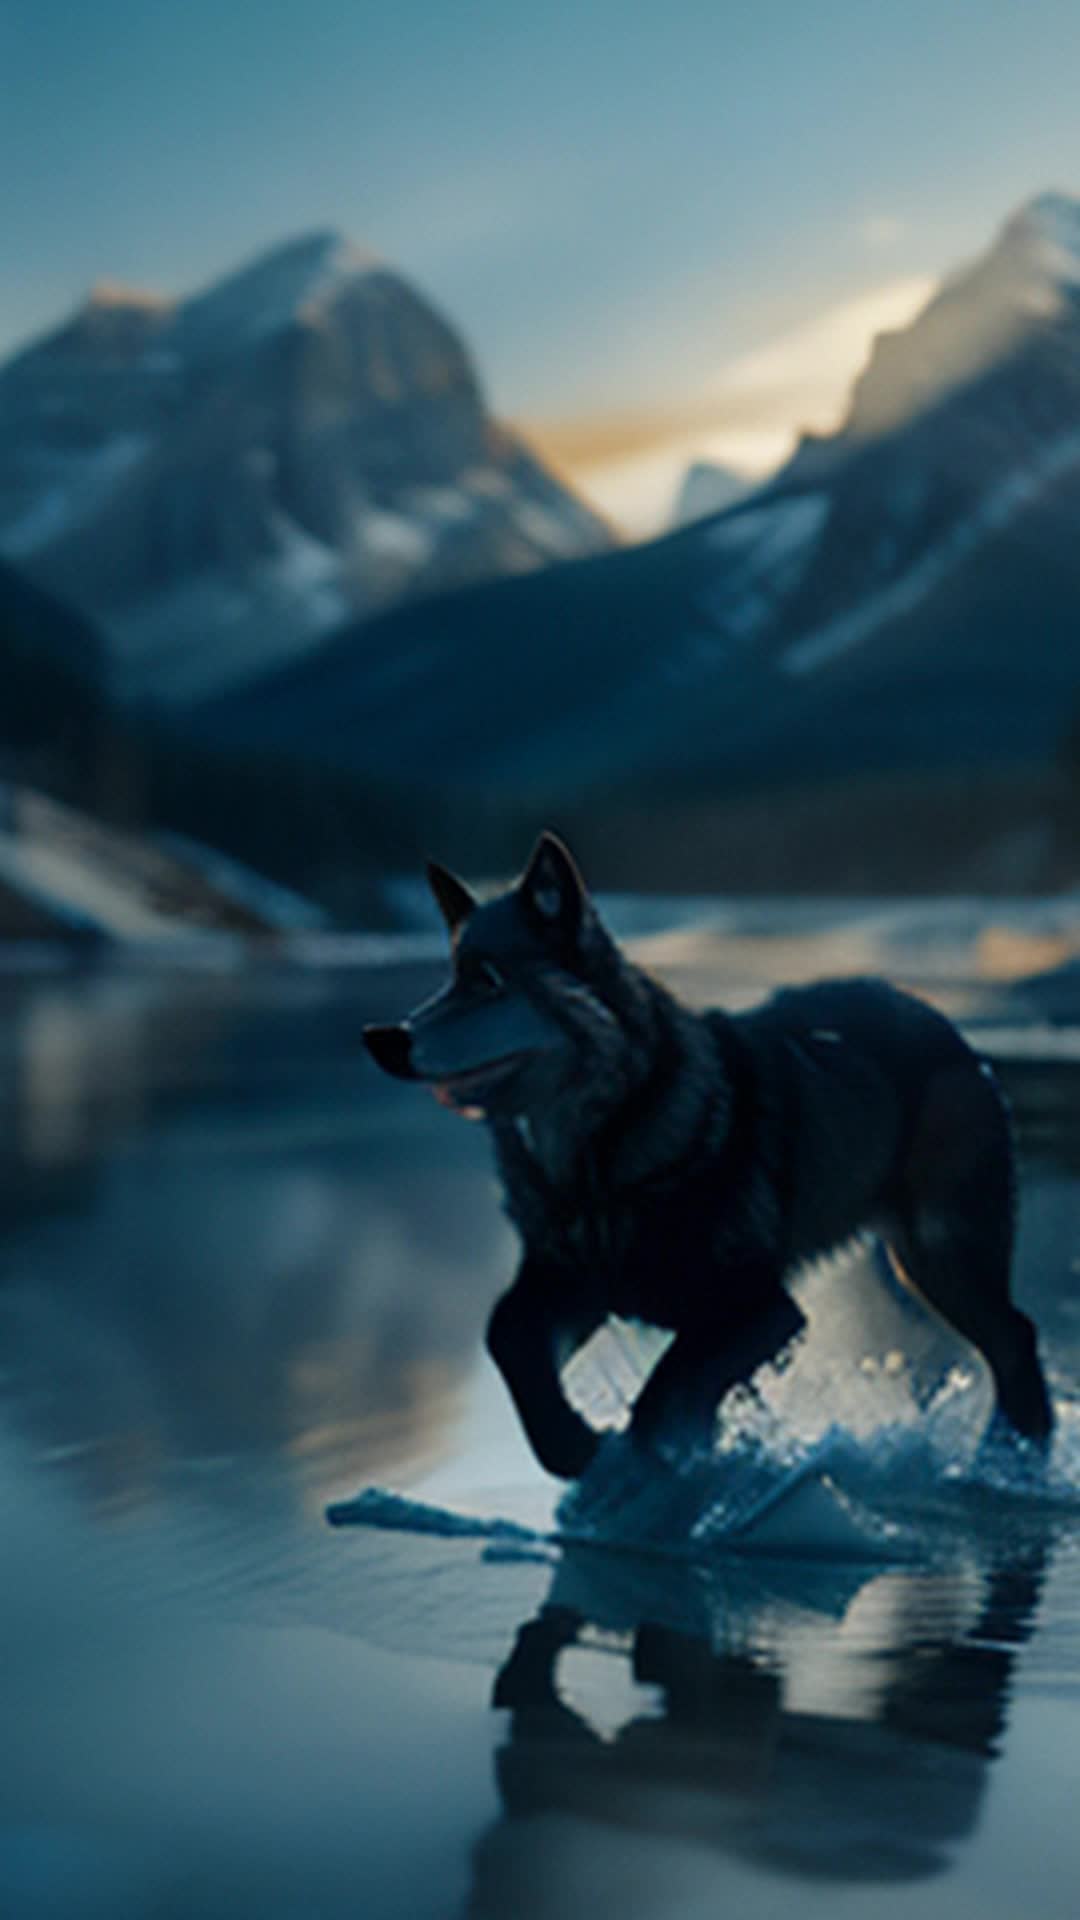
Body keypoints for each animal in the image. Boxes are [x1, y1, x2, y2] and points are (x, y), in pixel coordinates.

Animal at [363, 833, 1053, 1474]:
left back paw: (1015, 1455)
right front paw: (570, 1444)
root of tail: (941, 1022)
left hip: (941, 1251)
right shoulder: (576, 1284)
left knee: (1015, 1335)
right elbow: (507, 1335)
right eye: (450, 975)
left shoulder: (762, 1309)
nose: (380, 1038)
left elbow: (662, 1399)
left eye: (486, 982)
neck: (595, 1159)